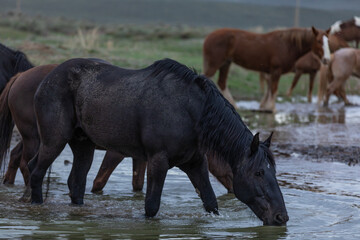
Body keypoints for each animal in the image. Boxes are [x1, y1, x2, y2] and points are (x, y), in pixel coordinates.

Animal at [202, 27, 330, 111]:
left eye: (328, 41)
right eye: (319, 41)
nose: (327, 59)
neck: (286, 44)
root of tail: (208, 37)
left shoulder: (271, 72)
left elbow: (269, 89)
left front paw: (266, 107)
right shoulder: (276, 71)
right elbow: (274, 90)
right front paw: (271, 109)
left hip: (226, 63)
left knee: (222, 82)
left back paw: (233, 105)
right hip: (215, 64)